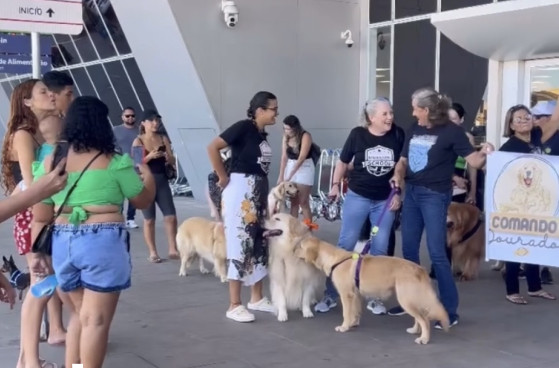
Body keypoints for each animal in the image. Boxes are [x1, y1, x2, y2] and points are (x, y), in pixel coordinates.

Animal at [266, 213, 450, 344]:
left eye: (300, 247)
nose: (293, 251)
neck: (335, 259)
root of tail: (420, 269)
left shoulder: (346, 294)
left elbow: (346, 312)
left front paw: (344, 327)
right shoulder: (354, 294)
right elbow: (354, 311)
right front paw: (353, 323)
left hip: (406, 298)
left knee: (425, 319)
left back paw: (424, 338)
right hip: (411, 298)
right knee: (421, 317)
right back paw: (415, 330)